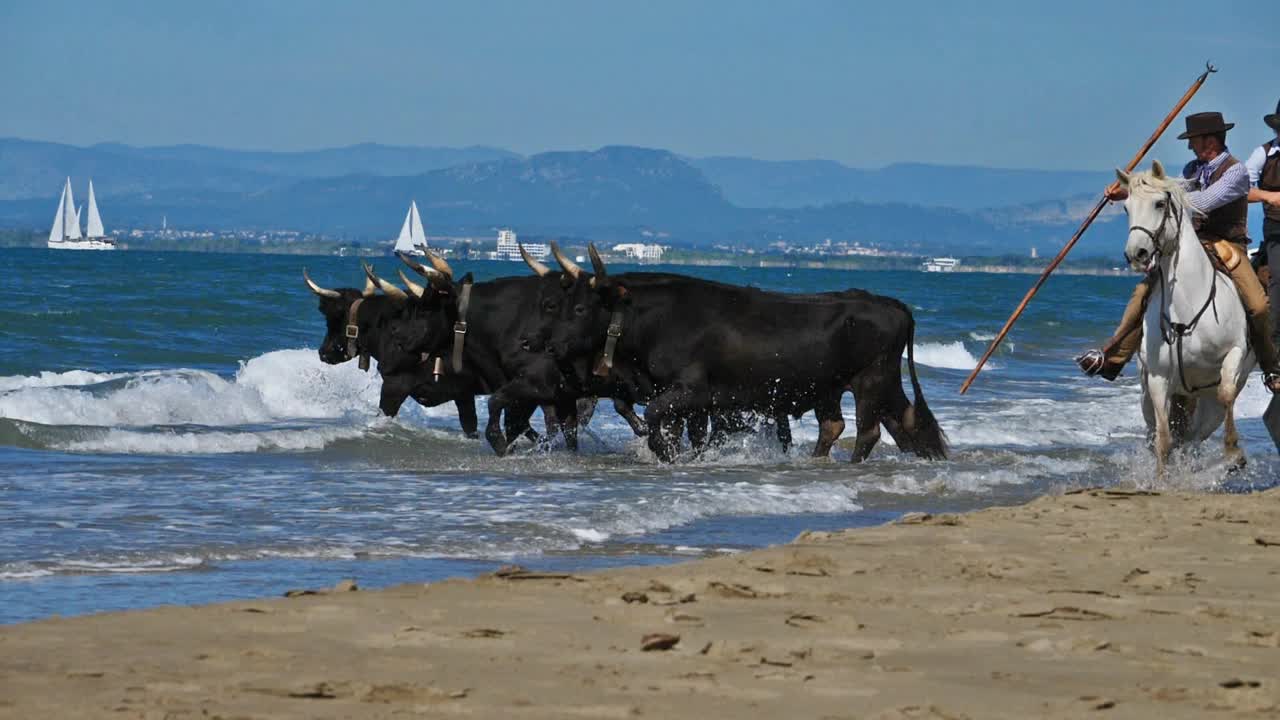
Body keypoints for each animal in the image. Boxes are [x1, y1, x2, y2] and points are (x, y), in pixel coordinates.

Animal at [1121, 159, 1249, 474]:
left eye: (1159, 203)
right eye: (1126, 207)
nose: (1136, 253)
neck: (1187, 306)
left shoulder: (1234, 352)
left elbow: (1227, 393)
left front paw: (1234, 453)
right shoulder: (1157, 379)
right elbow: (1163, 439)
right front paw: (1160, 478)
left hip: (1205, 401)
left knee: (1195, 436)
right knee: (1165, 433)